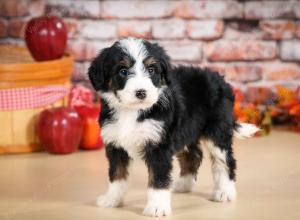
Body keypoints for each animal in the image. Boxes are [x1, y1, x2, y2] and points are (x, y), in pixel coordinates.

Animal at [87, 37, 258, 217]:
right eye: (123, 71)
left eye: (151, 70)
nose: (141, 92)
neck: (131, 111)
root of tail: (221, 80)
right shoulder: (115, 144)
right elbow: (116, 175)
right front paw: (112, 199)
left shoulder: (159, 146)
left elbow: (158, 178)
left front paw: (157, 207)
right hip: (186, 130)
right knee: (193, 155)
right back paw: (184, 184)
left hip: (217, 131)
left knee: (226, 160)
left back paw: (225, 192)